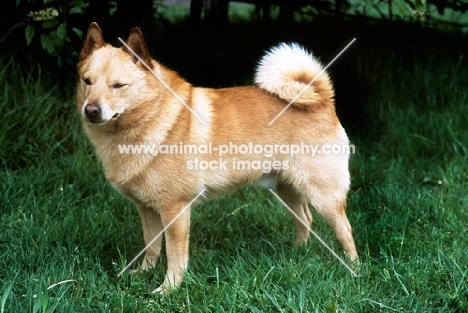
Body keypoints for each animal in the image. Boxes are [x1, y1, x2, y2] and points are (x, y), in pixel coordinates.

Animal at [77, 22, 358, 292]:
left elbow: (175, 256)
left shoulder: (175, 210)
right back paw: (296, 255)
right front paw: (143, 273)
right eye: (87, 81)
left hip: (323, 195)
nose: (91, 110)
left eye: (118, 85)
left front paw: (169, 289)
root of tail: (322, 99)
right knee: (305, 219)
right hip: (286, 189)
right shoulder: (146, 208)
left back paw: (354, 270)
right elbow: (152, 246)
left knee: (345, 229)